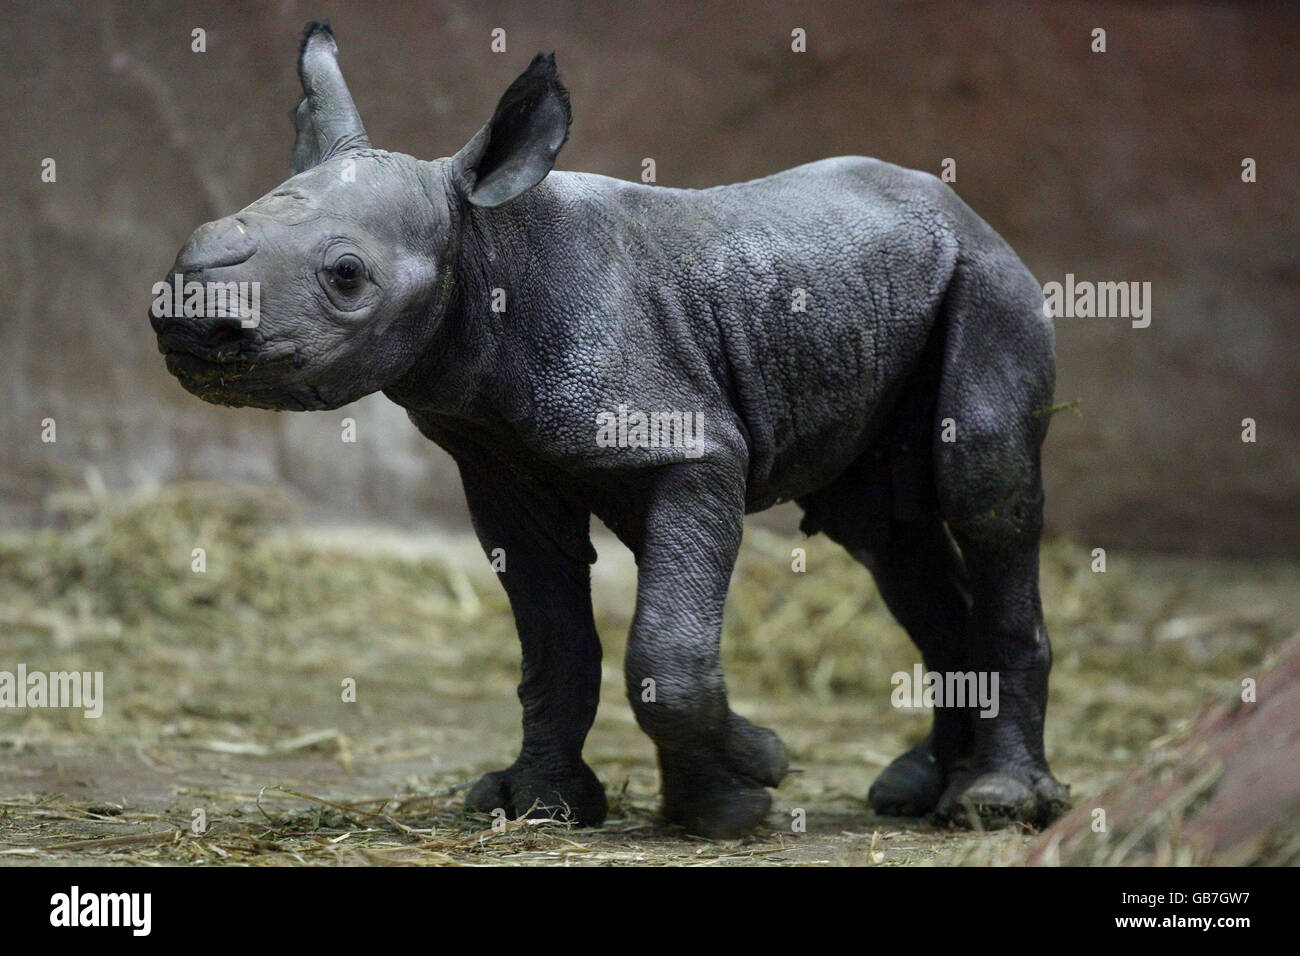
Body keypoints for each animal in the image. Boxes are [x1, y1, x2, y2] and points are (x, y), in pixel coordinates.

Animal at [150, 21, 1068, 837]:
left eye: (346, 276)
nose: (192, 321)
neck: (480, 246)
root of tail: (965, 208)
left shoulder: (694, 453)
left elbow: (665, 650)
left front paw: (751, 781)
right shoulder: (504, 468)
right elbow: (559, 644)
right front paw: (553, 806)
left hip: (989, 281)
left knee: (984, 489)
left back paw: (997, 805)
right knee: (885, 537)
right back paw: (917, 790)